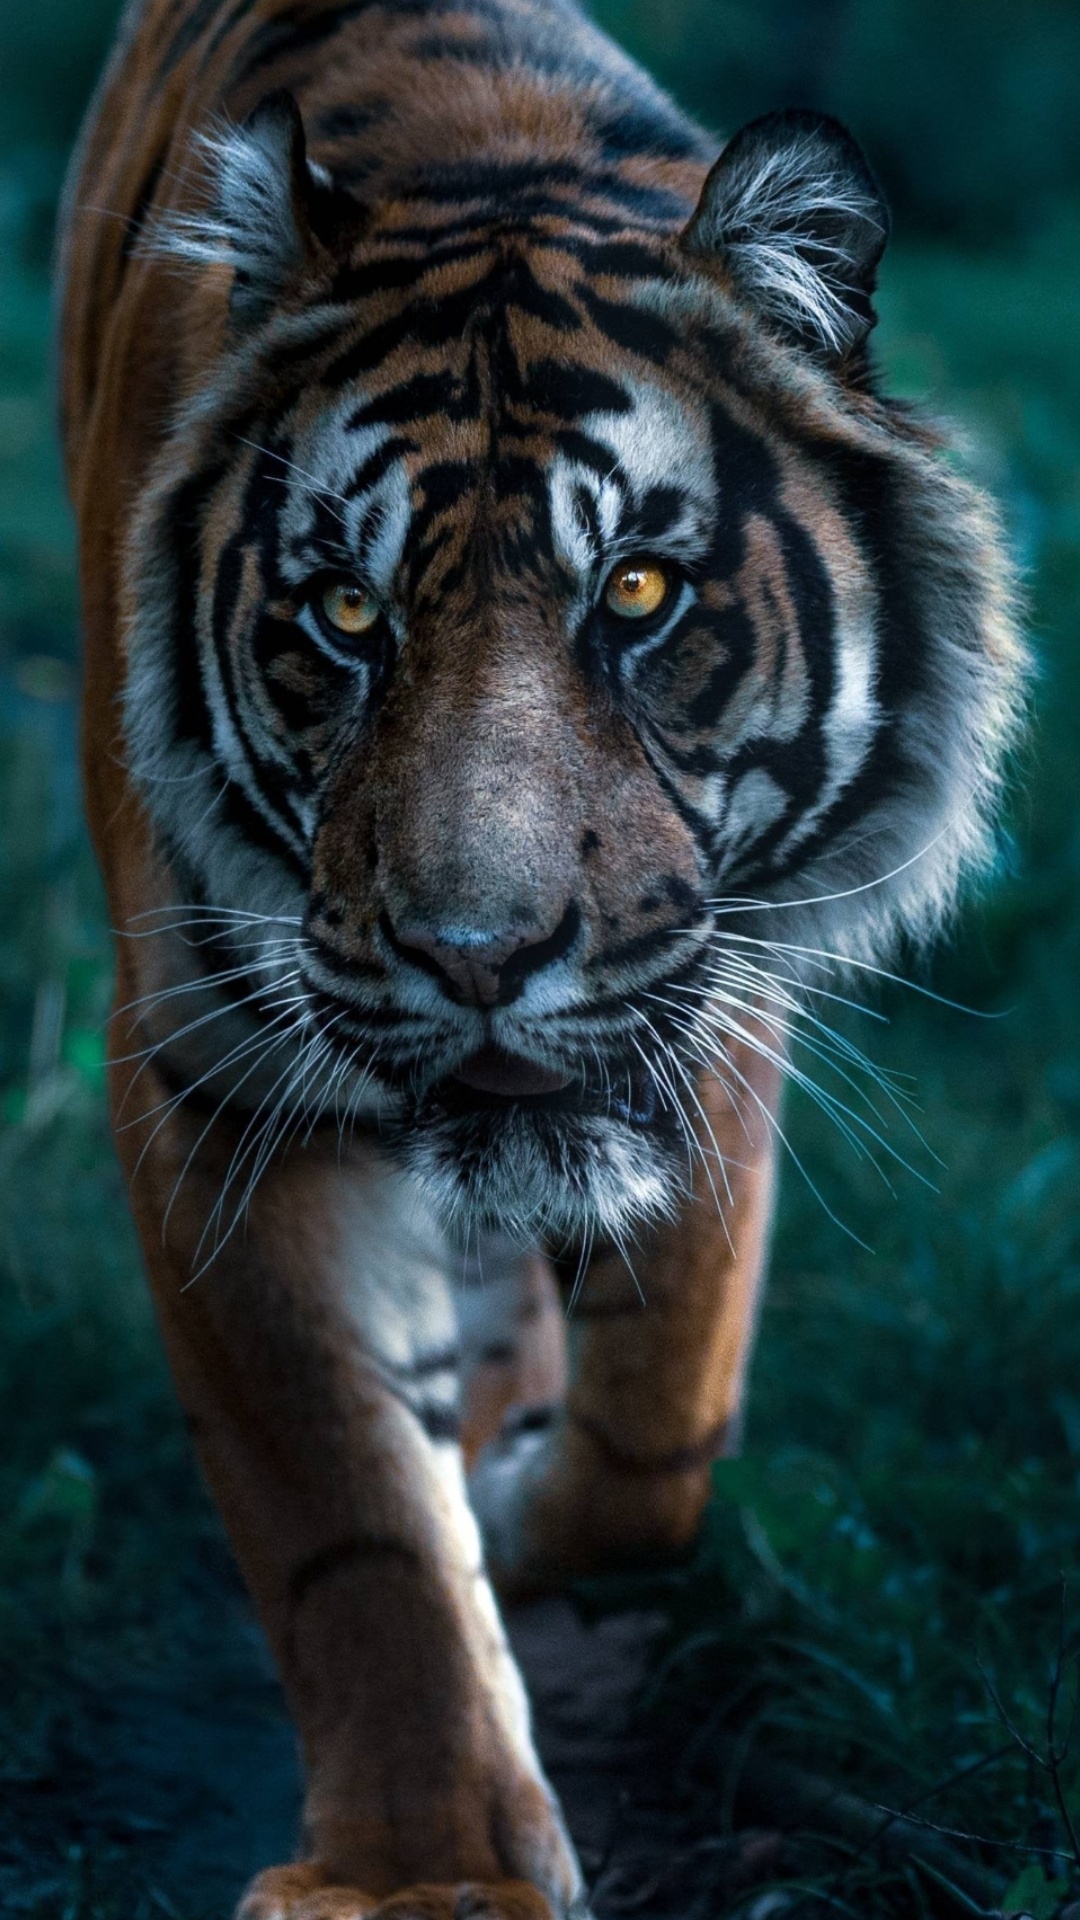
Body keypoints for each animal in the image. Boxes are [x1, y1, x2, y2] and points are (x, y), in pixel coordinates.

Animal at [58, 0, 1024, 1914]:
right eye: (346, 616)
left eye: (638, 596)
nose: (478, 955)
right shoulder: (215, 1082)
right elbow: (347, 1511)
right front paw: (420, 1870)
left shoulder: (706, 1000)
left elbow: (664, 1415)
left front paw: (530, 1507)